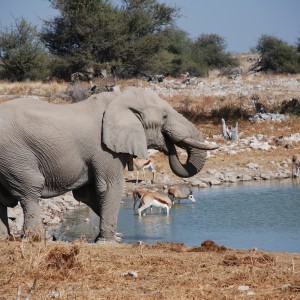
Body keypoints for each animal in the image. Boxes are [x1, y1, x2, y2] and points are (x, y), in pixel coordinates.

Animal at [0, 86, 217, 241]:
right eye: (164, 117)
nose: (169, 145)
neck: (119, 99)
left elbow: (87, 194)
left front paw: (116, 237)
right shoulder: (104, 150)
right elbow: (109, 187)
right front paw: (109, 241)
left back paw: (5, 239)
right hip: (15, 156)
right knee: (30, 191)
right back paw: (35, 239)